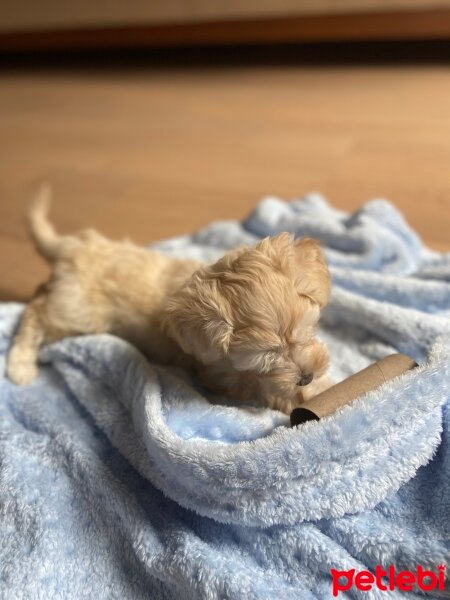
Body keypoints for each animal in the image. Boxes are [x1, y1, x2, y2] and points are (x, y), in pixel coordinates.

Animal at [6, 188, 330, 412]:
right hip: (76, 312)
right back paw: (19, 365)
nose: (305, 377)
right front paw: (298, 398)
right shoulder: (219, 374)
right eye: (266, 357)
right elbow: (259, 388)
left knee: (39, 296)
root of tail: (70, 246)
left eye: (307, 333)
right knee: (34, 313)